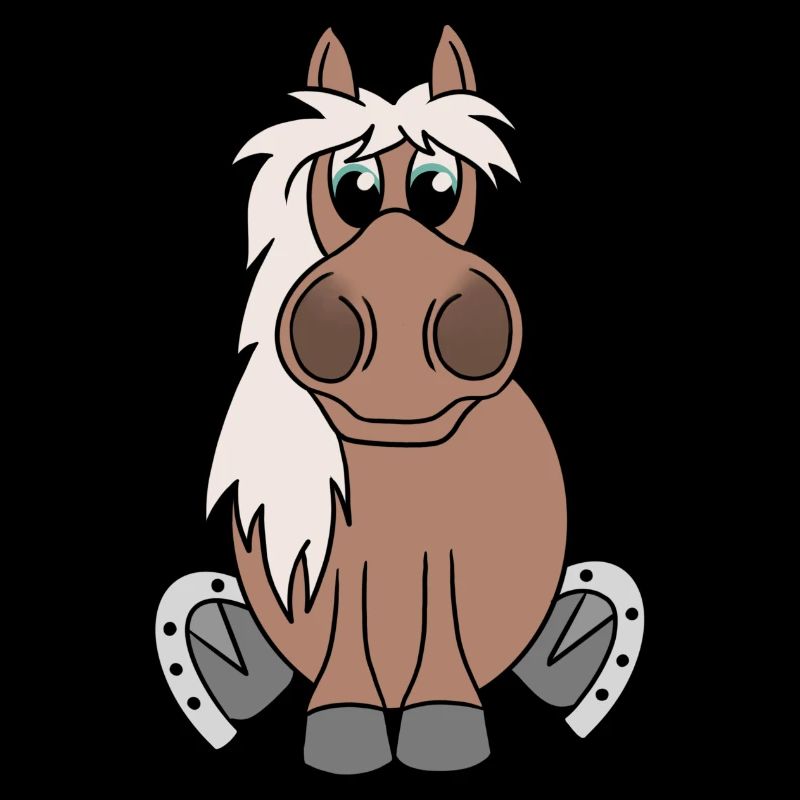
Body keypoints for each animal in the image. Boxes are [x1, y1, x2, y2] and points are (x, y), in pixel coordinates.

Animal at [156, 26, 644, 774]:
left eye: (439, 185)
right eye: (349, 185)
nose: (399, 309)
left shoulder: (447, 557)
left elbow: (443, 628)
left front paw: (445, 726)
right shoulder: (339, 569)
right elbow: (345, 641)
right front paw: (343, 729)